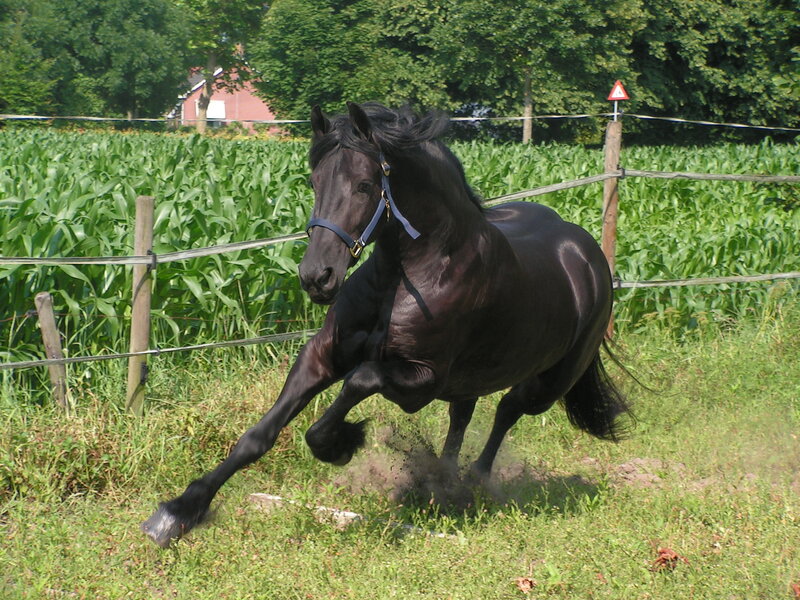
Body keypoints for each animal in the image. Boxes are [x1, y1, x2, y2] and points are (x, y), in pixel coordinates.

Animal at [142, 102, 629, 547]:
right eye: (314, 181)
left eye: (363, 185)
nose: (317, 277)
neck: (411, 272)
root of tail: (586, 254)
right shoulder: (322, 354)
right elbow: (259, 436)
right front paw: (177, 514)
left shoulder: (422, 380)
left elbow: (358, 382)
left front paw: (339, 443)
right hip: (471, 378)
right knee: (463, 417)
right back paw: (442, 484)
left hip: (548, 383)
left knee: (507, 410)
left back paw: (470, 482)